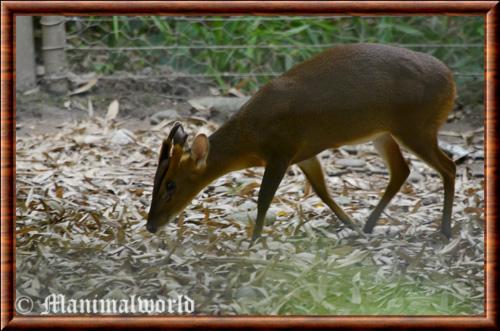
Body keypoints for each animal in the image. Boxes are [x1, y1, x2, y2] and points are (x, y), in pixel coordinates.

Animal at [146, 43, 458, 241]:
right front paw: (351, 225)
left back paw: (444, 231)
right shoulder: (305, 154)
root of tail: (451, 80)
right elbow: (323, 191)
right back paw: (369, 226)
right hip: (383, 133)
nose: (150, 225)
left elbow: (264, 199)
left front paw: (253, 241)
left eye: (171, 184)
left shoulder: (281, 152)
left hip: (416, 128)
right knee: (402, 170)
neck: (251, 135)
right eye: (155, 179)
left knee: (449, 166)